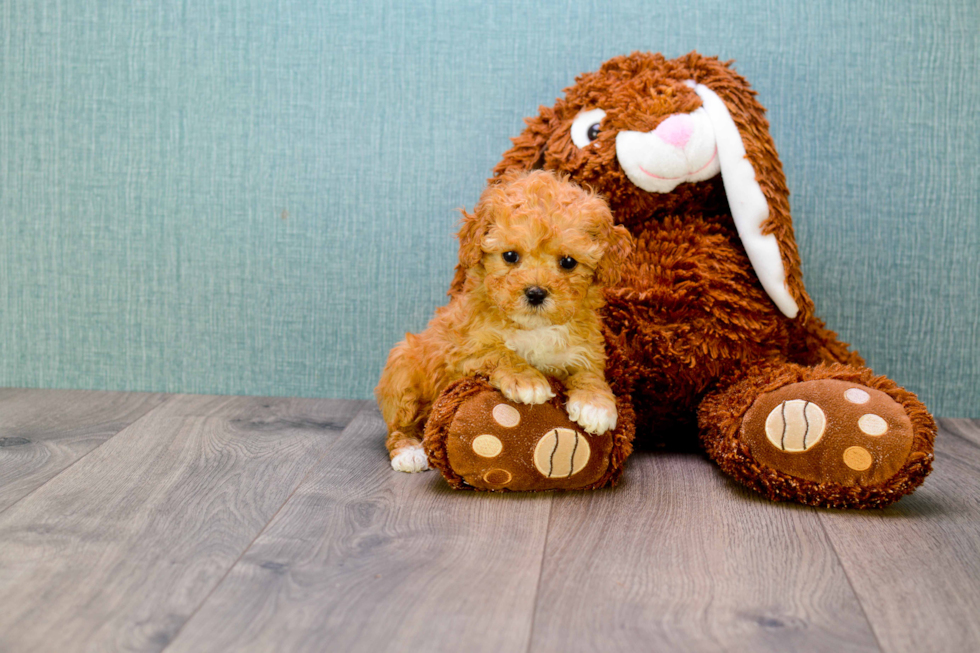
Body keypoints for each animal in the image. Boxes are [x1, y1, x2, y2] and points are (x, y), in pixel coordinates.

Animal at [376, 171, 636, 472]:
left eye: (568, 262)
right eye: (510, 256)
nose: (535, 293)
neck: (534, 327)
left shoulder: (585, 350)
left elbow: (589, 373)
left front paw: (595, 404)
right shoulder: (462, 353)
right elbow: (499, 352)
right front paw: (527, 380)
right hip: (402, 372)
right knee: (399, 425)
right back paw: (409, 452)